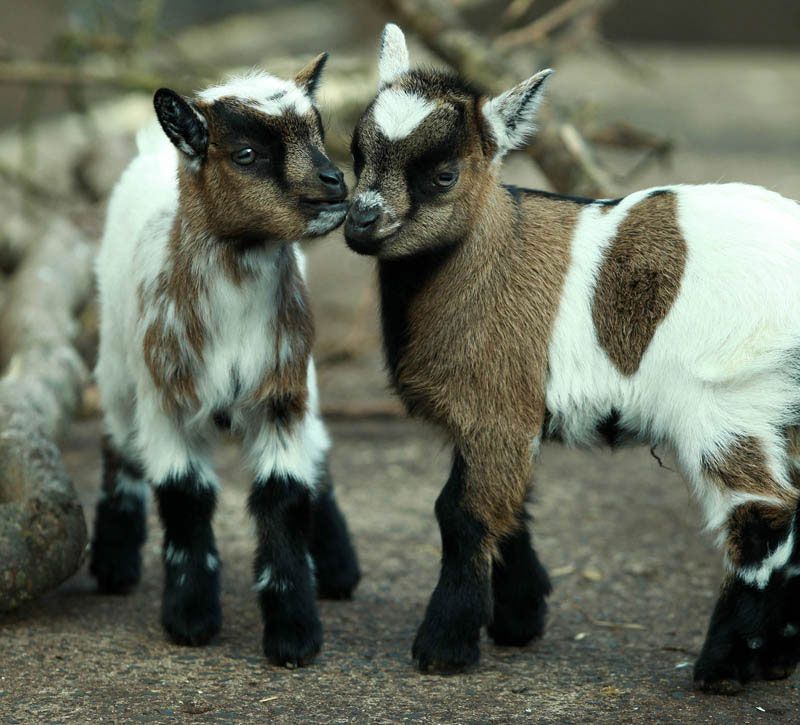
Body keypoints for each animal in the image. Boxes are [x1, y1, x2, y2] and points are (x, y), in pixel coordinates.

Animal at [90, 58, 360, 668]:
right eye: (246, 154)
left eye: (319, 131)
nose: (334, 182)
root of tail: (150, 150)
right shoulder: (167, 398)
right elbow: (185, 497)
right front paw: (190, 619)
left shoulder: (283, 393)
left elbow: (285, 496)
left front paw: (294, 635)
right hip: (118, 362)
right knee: (118, 441)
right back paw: (112, 566)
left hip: (306, 379)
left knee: (321, 452)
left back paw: (338, 569)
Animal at [346, 24, 800, 692]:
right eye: (356, 154)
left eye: (444, 175)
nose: (359, 223)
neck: (493, 253)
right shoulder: (509, 412)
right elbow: (508, 504)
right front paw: (519, 618)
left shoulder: (497, 409)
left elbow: (462, 513)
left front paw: (445, 647)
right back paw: (773, 659)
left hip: (732, 399)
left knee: (762, 517)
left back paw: (721, 668)